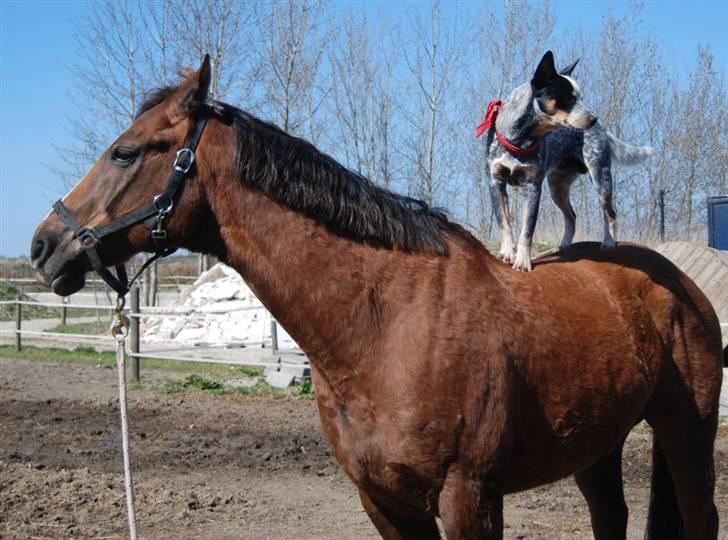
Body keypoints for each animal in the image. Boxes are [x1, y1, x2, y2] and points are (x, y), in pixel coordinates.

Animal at [29, 57, 724, 536]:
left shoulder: (469, 496)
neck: (386, 323)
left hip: (686, 431)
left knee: (701, 515)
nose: (43, 246)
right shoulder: (385, 501)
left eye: (125, 152)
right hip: (597, 444)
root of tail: (678, 282)